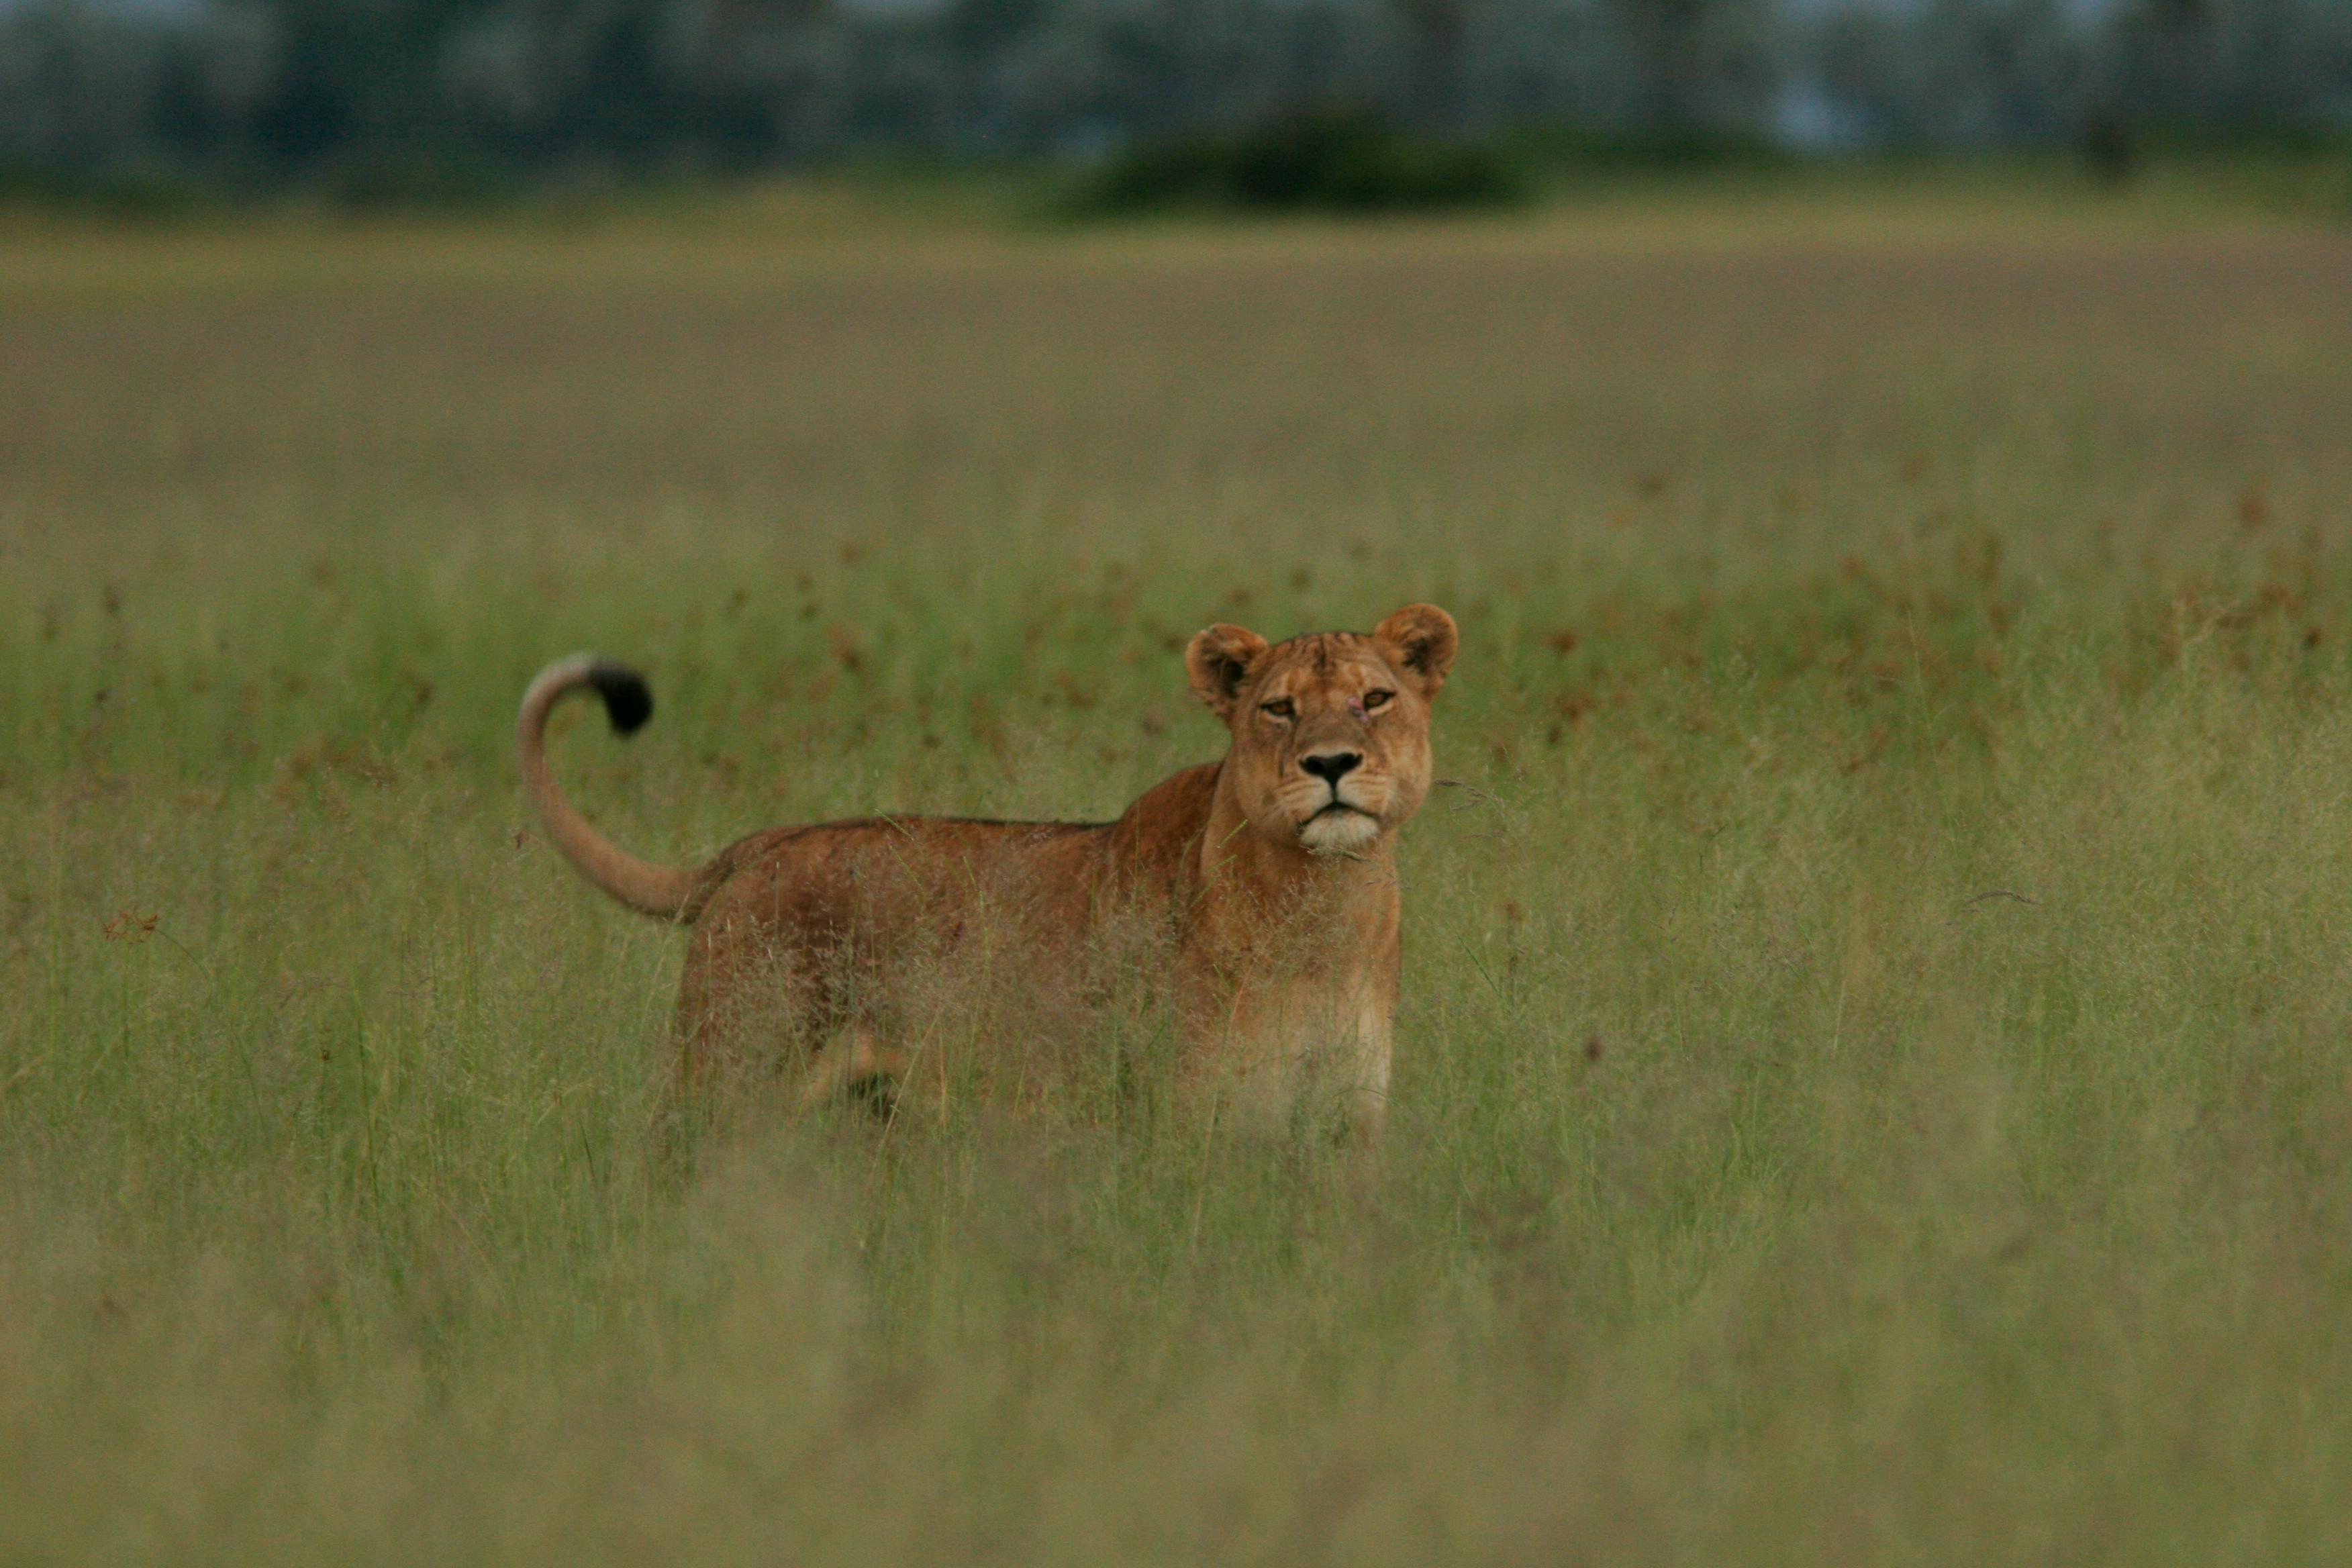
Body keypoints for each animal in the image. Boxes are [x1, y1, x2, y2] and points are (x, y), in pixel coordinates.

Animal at [516, 603, 1458, 1142]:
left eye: (1376, 699)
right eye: (1278, 708)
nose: (1330, 763)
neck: (1323, 906)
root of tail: (764, 843)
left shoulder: (1347, 1124)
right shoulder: (1188, 1118)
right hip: (728, 1076)